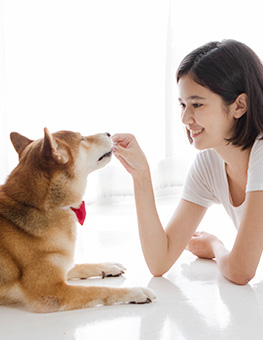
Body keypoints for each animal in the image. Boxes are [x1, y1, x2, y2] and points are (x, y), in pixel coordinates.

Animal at [0, 129, 156, 312]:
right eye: (82, 139)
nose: (108, 133)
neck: (38, 206)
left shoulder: (62, 265)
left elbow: (80, 265)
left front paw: (108, 267)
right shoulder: (50, 292)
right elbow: (99, 290)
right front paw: (135, 291)